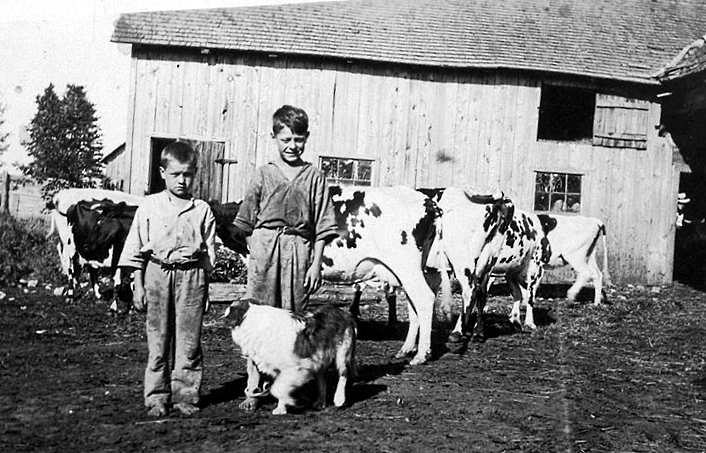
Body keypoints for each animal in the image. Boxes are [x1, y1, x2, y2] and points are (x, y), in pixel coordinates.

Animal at [223, 296, 354, 414]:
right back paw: (320, 402)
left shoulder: (296, 367)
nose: (224, 314)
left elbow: (277, 388)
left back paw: (339, 399)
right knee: (323, 382)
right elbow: (280, 387)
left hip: (342, 355)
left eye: (231, 308)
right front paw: (282, 408)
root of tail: (342, 312)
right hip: (319, 358)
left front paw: (287, 402)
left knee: (343, 375)